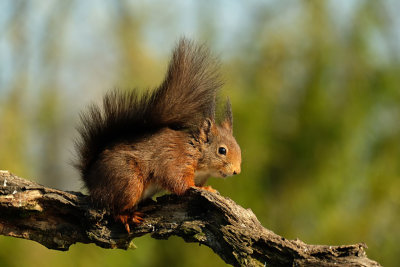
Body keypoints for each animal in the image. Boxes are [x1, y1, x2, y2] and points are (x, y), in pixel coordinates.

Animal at [75, 38, 242, 233]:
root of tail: (91, 180)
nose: (236, 171)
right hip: (128, 181)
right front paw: (204, 189)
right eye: (222, 150)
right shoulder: (175, 160)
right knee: (113, 207)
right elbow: (179, 182)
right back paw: (127, 216)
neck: (196, 152)